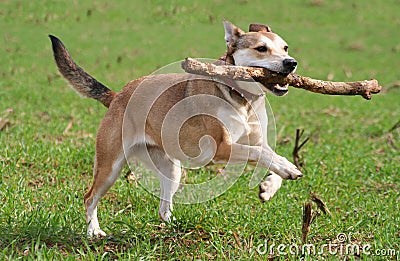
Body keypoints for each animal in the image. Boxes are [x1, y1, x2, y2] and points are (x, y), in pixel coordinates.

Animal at [49, 20, 300, 236]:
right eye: (261, 48)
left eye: (285, 47)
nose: (291, 63)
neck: (242, 98)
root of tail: (117, 96)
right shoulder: (221, 148)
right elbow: (259, 154)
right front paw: (285, 170)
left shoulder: (258, 140)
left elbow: (268, 154)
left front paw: (271, 184)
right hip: (110, 166)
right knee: (89, 197)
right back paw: (94, 231)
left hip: (172, 170)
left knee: (163, 208)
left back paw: (174, 226)